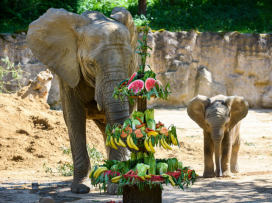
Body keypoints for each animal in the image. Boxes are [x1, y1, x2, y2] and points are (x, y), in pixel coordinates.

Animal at [26, 6, 137, 193]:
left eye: (130, 61)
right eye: (91, 64)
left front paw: (116, 188)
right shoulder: (67, 67)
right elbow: (74, 117)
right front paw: (80, 188)